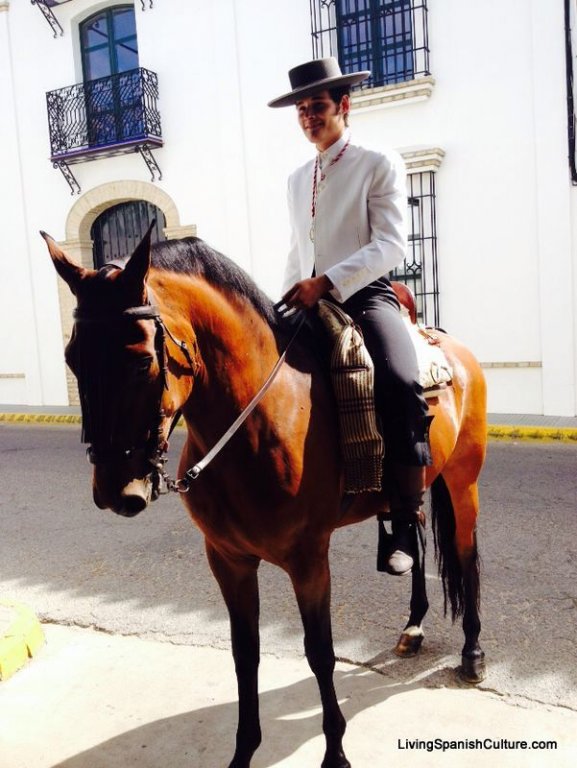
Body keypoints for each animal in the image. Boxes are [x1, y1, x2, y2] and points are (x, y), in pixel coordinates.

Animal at [41, 225, 486, 768]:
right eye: (71, 358)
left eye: (144, 359)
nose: (114, 489)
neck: (256, 422)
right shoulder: (228, 559)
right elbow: (244, 653)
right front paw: (244, 749)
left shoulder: (309, 560)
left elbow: (320, 652)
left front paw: (335, 752)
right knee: (414, 533)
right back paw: (414, 624)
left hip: (463, 481)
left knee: (465, 555)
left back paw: (472, 653)